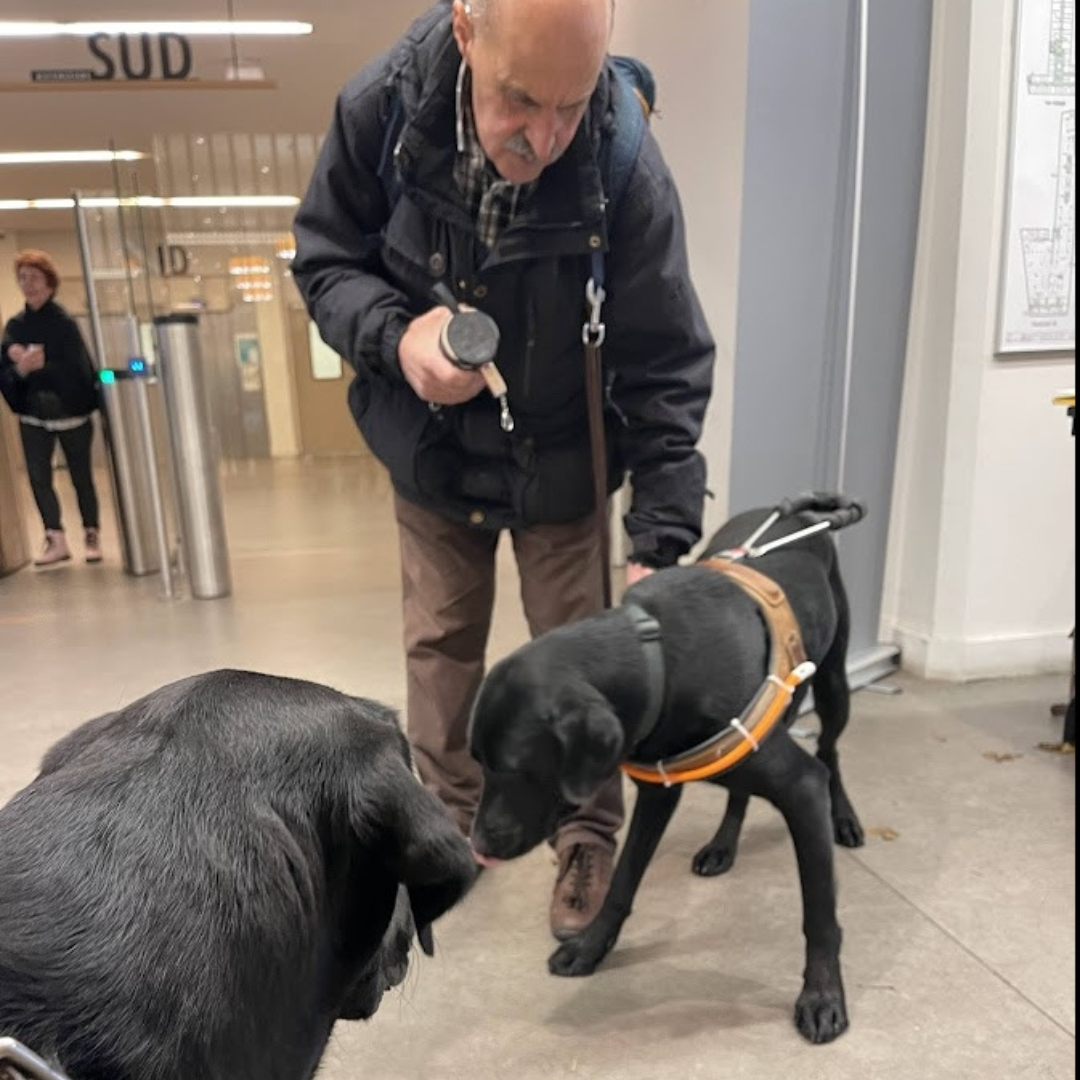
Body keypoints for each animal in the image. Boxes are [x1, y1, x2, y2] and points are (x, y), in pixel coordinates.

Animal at [473, 496, 868, 1045]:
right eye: (477, 762)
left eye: (515, 769)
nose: (476, 845)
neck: (659, 661)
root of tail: (800, 512)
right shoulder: (658, 792)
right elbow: (622, 882)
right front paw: (591, 947)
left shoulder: (802, 788)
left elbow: (820, 914)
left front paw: (823, 994)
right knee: (741, 789)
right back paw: (723, 845)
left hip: (833, 685)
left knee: (830, 752)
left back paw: (845, 818)